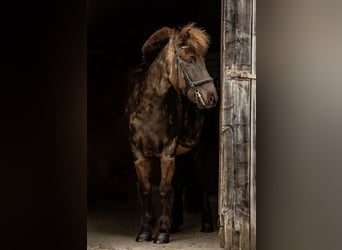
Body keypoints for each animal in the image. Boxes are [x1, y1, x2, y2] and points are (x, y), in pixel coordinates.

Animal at [125, 23, 219, 244]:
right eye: (190, 59)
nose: (212, 97)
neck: (149, 108)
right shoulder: (138, 153)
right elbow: (146, 188)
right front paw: (146, 230)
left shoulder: (167, 152)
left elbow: (164, 189)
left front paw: (162, 232)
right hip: (181, 153)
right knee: (180, 182)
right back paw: (176, 223)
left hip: (202, 149)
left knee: (202, 183)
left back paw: (206, 223)